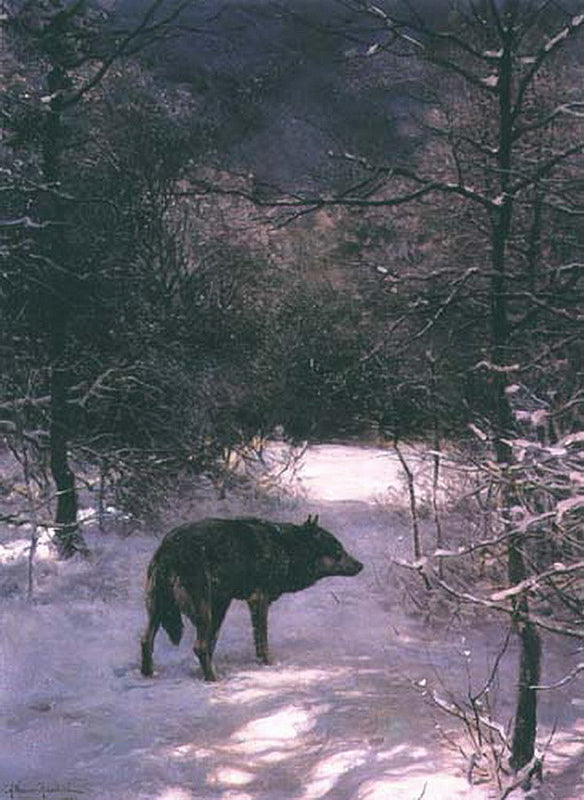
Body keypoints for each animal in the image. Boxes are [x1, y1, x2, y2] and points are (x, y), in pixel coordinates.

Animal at [140, 514, 363, 681]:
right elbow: (261, 640)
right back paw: (214, 679)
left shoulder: (224, 604)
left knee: (146, 641)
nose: (361, 565)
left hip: (163, 611)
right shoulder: (258, 600)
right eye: (338, 551)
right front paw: (268, 664)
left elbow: (214, 643)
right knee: (199, 647)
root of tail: (169, 548)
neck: (287, 548)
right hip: (203, 612)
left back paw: (149, 674)